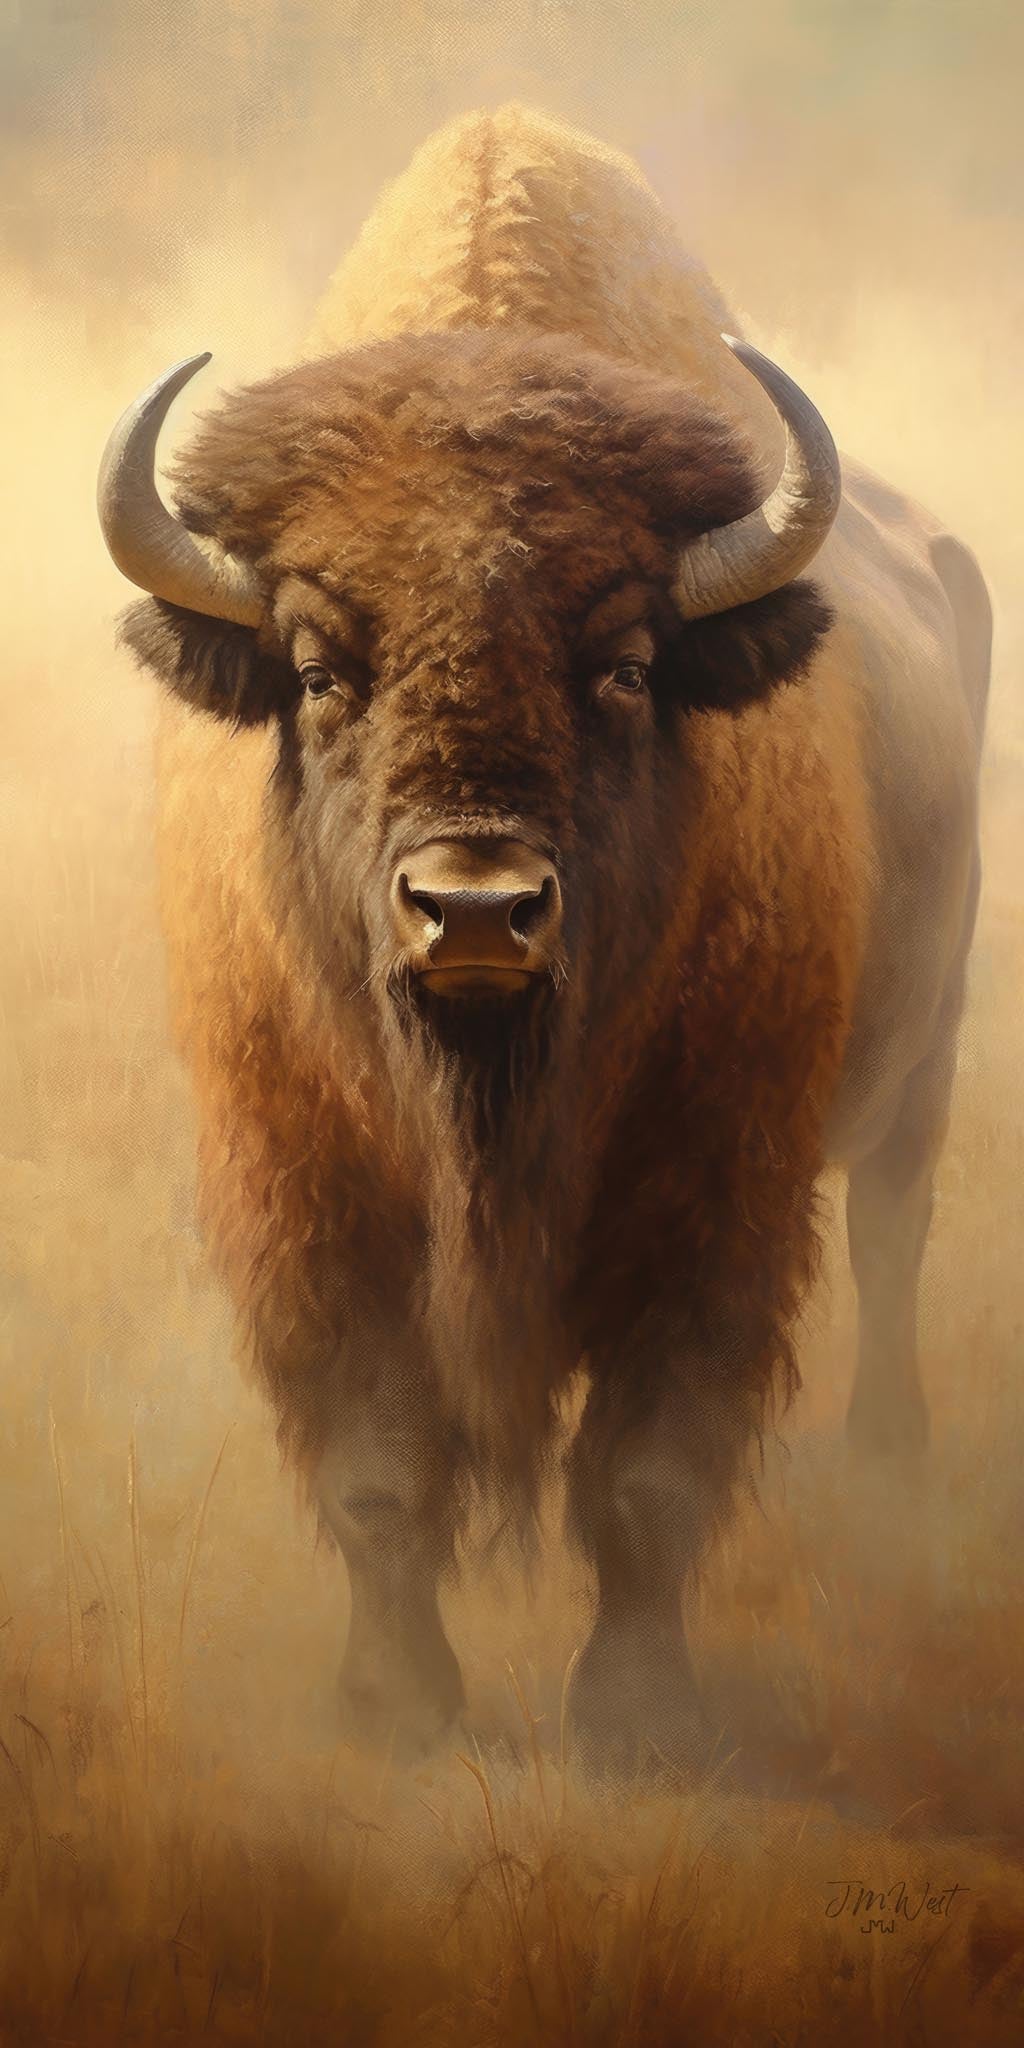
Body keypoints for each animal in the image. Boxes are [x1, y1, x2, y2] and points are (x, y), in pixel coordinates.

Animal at [98, 106, 990, 1773]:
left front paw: (639, 1719)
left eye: (628, 664)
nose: (476, 910)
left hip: (931, 1045)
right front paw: (393, 1710)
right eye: (320, 666)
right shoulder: (308, 1191)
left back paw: (893, 1462)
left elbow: (647, 1472)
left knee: (895, 1229)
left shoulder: (714, 1192)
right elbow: (377, 1465)